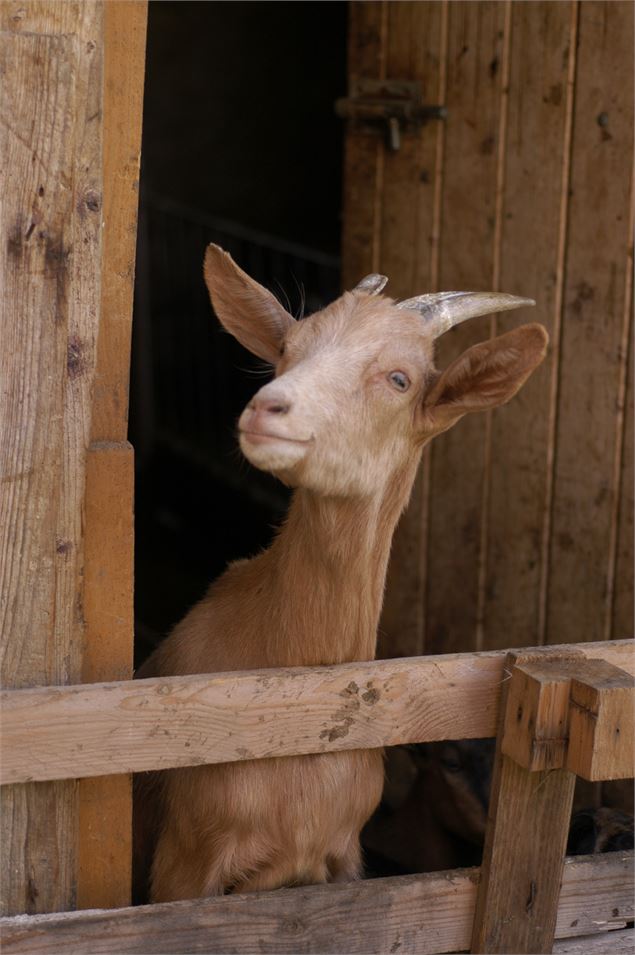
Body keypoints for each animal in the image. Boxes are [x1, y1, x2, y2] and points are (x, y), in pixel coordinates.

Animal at [133, 246, 548, 904]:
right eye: (287, 347)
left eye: (400, 379)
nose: (268, 408)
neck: (301, 705)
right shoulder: (184, 863)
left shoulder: (341, 858)